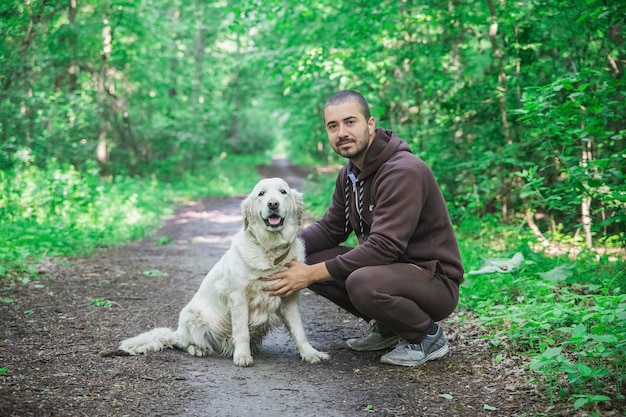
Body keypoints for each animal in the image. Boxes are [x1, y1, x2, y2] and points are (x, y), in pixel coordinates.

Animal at [119, 177, 330, 366]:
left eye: (283, 192)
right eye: (261, 194)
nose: (273, 204)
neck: (271, 250)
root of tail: (177, 332)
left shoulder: (289, 298)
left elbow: (299, 331)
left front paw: (310, 353)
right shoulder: (239, 297)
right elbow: (242, 331)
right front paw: (242, 356)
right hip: (192, 316)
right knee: (183, 343)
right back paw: (198, 349)